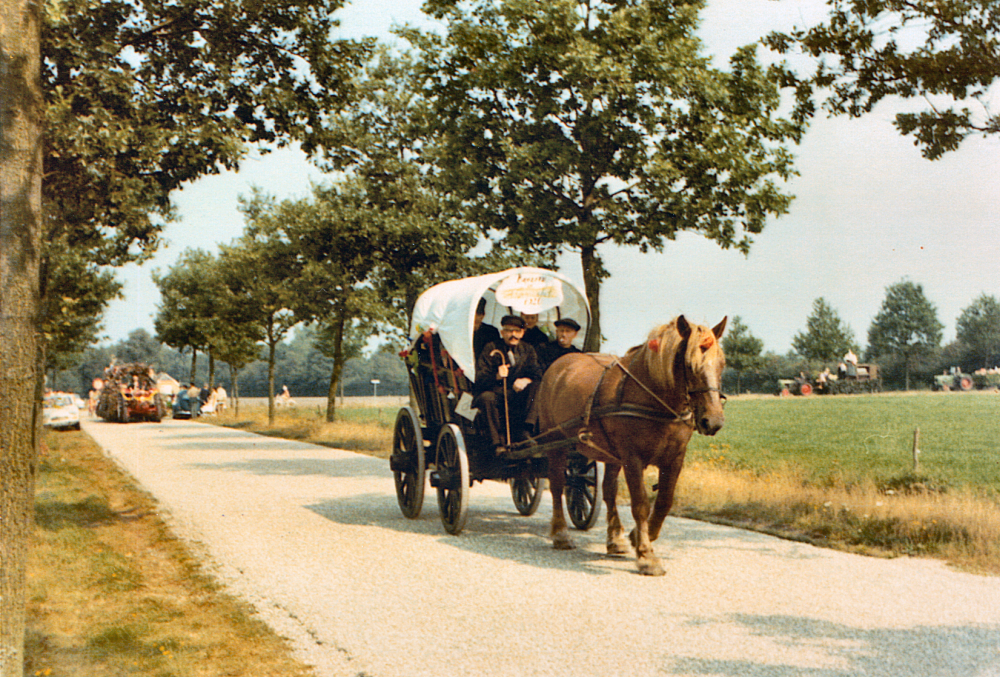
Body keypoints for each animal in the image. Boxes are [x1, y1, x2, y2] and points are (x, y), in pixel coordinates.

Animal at [540, 316, 728, 576]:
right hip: (555, 442)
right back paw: (560, 534)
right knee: (558, 484)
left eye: (721, 363)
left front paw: (635, 536)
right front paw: (647, 556)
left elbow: (664, 502)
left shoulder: (675, 458)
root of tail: (559, 365)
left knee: (608, 490)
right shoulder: (632, 458)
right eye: (690, 365)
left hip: (609, 454)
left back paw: (615, 539)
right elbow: (640, 504)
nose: (714, 421)